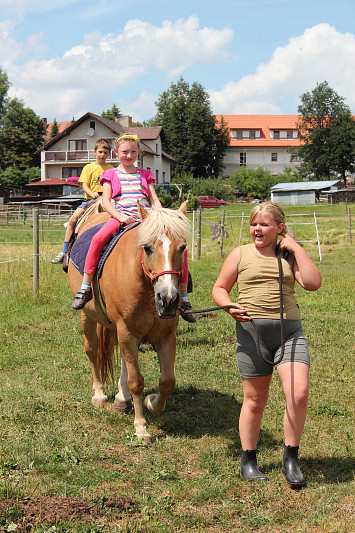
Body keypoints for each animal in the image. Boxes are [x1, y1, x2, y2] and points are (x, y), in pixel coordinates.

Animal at [66, 200, 189, 440]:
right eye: (147, 248)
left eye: (182, 248)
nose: (168, 299)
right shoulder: (127, 331)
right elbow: (136, 382)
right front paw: (141, 428)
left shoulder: (165, 335)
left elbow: (167, 381)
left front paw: (151, 402)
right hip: (89, 316)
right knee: (92, 349)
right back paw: (99, 394)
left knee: (124, 358)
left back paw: (122, 399)